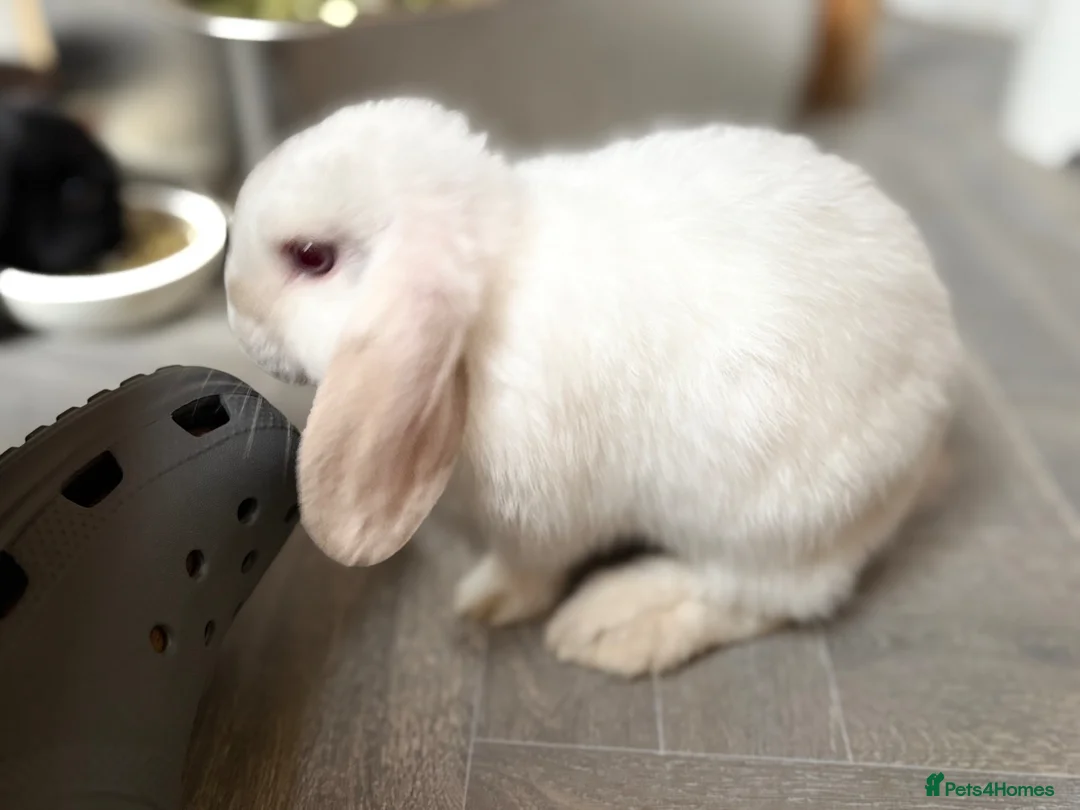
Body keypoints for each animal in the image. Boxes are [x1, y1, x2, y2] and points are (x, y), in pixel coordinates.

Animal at [224, 98, 964, 677]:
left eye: (311, 257)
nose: (236, 315)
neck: (489, 299)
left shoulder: (541, 520)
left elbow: (530, 570)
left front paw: (488, 602)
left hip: (775, 520)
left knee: (768, 597)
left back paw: (611, 628)